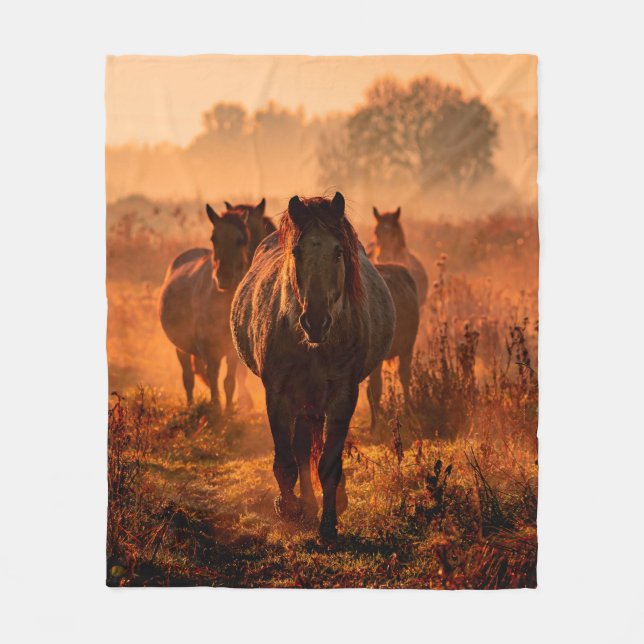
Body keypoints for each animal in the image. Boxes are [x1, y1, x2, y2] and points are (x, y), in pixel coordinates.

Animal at [159, 204, 250, 410]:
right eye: (213, 238)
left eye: (240, 240)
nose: (224, 278)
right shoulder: (209, 349)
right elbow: (213, 379)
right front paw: (216, 409)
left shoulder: (231, 351)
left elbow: (229, 382)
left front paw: (228, 411)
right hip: (181, 348)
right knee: (188, 378)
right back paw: (190, 406)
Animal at [231, 193, 396, 539]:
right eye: (297, 251)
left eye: (338, 252)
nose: (316, 321)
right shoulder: (278, 395)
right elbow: (287, 461)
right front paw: (289, 508)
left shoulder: (343, 396)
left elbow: (329, 464)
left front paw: (329, 524)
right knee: (302, 450)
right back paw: (304, 507)